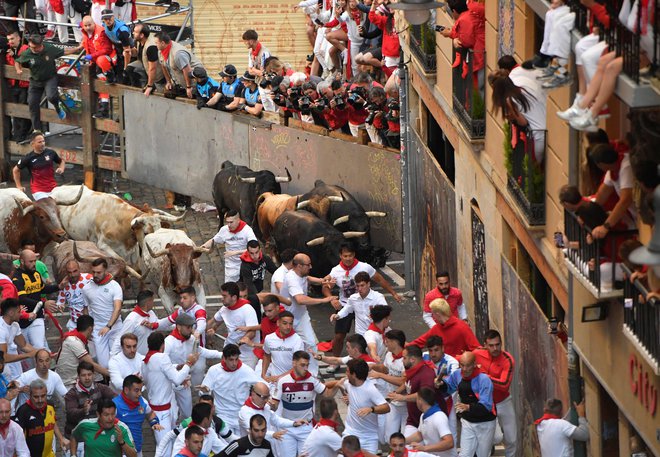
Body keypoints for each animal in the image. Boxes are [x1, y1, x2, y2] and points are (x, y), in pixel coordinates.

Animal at [50, 185, 184, 268]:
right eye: (146, 233)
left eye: (161, 229)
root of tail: (54, 191)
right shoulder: (103, 246)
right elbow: (122, 262)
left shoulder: (134, 249)